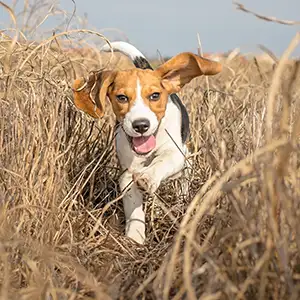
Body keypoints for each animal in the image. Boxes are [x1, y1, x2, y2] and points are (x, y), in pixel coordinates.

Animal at [73, 41, 223, 244]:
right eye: (122, 97)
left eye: (154, 96)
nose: (141, 125)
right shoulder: (127, 175)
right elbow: (133, 208)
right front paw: (135, 236)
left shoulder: (175, 154)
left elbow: (163, 161)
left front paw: (148, 176)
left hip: (186, 158)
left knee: (184, 177)